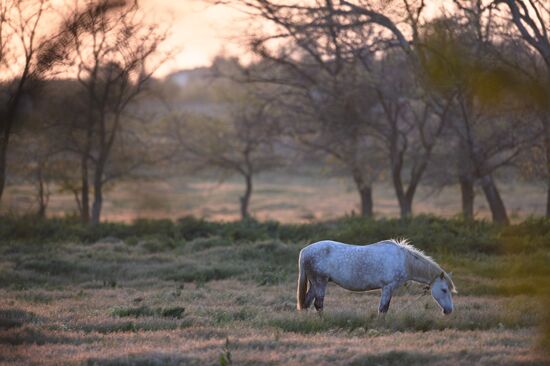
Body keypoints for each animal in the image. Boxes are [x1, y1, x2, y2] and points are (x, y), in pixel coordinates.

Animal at [298, 240, 458, 314]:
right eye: (444, 290)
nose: (449, 310)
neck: (403, 260)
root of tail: (305, 251)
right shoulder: (388, 287)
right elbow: (383, 308)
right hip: (320, 282)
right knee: (318, 305)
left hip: (314, 284)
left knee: (306, 303)